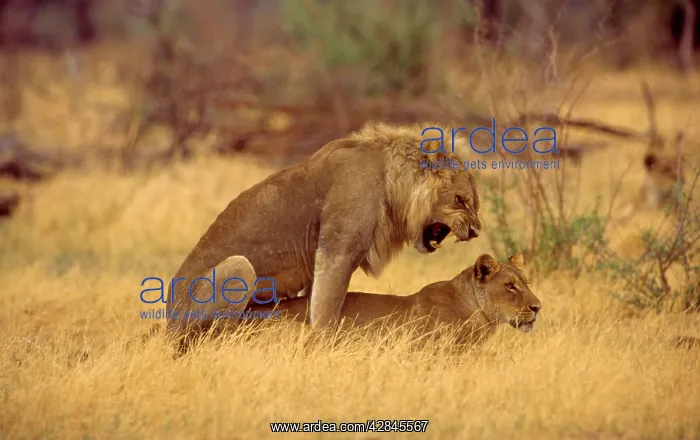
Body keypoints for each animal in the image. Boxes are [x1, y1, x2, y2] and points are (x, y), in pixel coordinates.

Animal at [166, 122, 482, 340]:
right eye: (460, 200)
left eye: (475, 203)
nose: (477, 231)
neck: (390, 180)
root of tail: (168, 317)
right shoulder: (337, 250)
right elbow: (326, 308)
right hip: (237, 267)